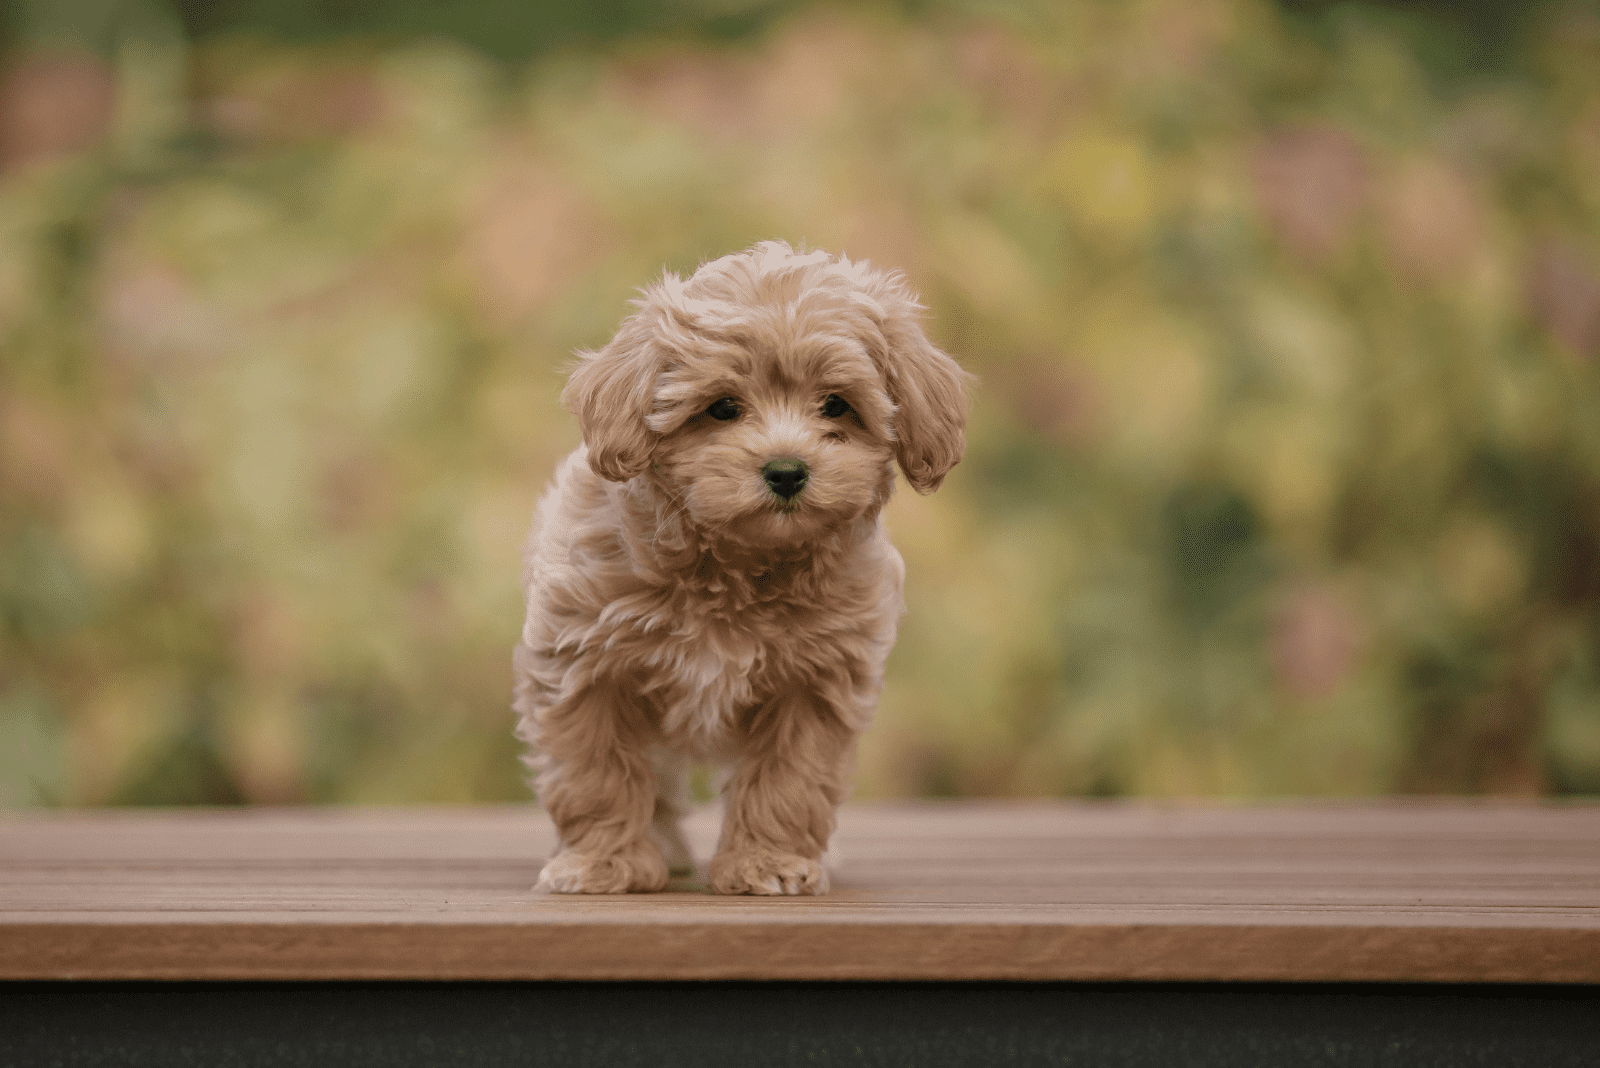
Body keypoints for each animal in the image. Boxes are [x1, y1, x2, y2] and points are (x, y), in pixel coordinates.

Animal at [515, 239, 960, 895]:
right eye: (723, 407)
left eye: (836, 404)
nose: (786, 470)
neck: (738, 567)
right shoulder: (581, 665)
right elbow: (596, 773)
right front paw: (603, 863)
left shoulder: (816, 681)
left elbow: (788, 779)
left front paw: (768, 862)